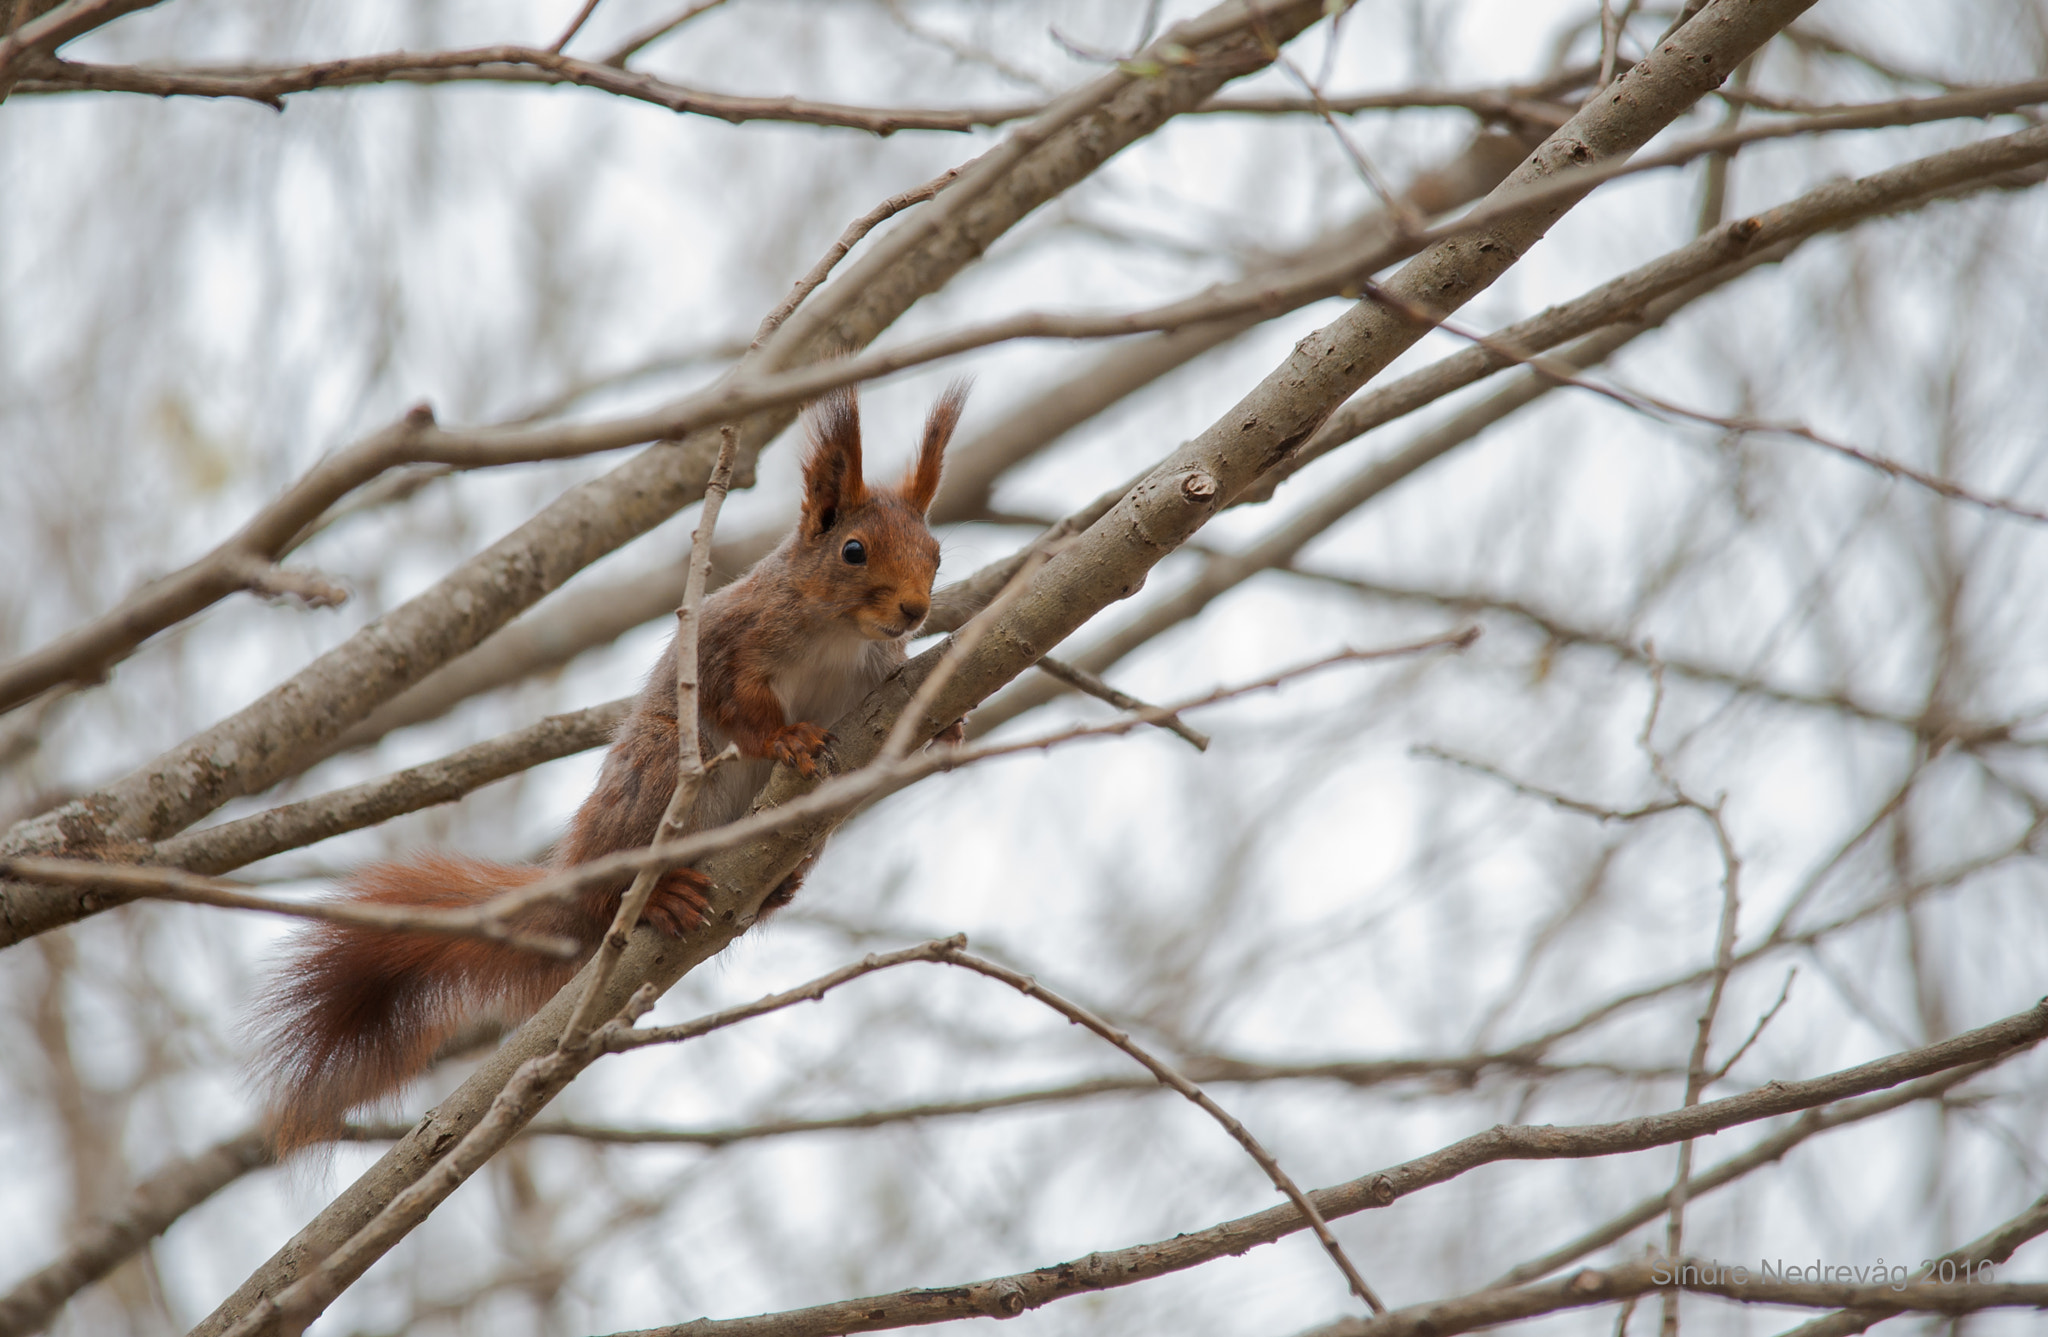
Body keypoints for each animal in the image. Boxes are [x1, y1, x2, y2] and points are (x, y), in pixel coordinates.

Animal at [253, 382, 968, 1151]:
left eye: (936, 554)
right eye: (852, 550)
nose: (914, 609)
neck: (838, 634)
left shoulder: (877, 675)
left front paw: (947, 722)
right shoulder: (724, 643)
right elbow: (736, 703)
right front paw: (789, 737)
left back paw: (776, 885)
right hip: (653, 772)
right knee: (610, 895)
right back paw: (653, 896)